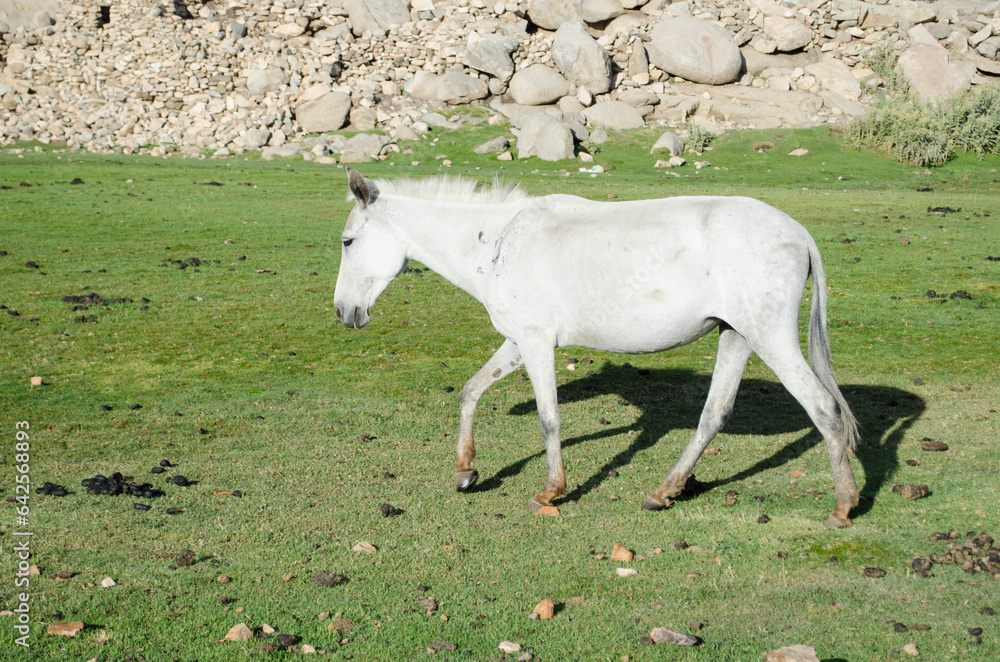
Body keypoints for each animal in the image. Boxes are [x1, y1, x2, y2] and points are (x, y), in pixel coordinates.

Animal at [334, 168, 860, 529]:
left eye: (347, 241)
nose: (344, 312)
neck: (499, 242)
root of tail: (799, 233)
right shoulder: (517, 341)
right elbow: (470, 391)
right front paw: (466, 472)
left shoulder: (535, 343)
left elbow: (549, 418)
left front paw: (551, 491)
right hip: (736, 336)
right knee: (714, 415)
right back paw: (664, 491)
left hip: (769, 339)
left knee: (824, 410)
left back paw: (843, 507)